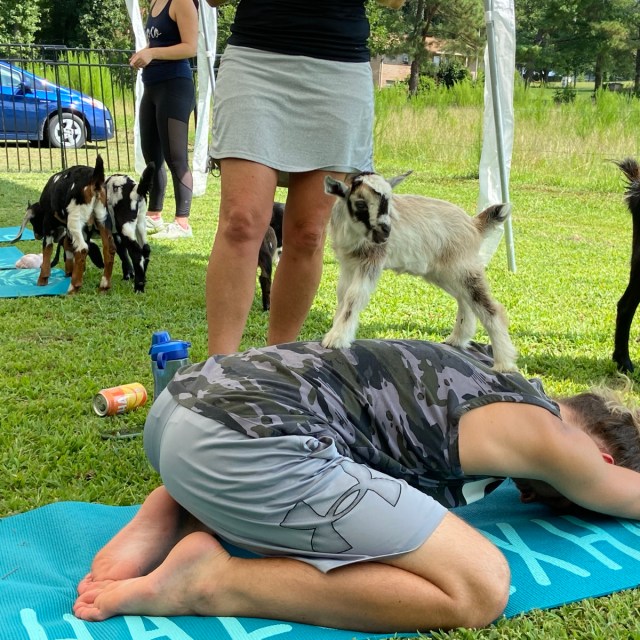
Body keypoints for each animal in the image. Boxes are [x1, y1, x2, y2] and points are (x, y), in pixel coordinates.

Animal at [105, 164, 156, 296]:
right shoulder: (115, 234)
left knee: (136, 253)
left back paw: (139, 287)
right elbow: (123, 254)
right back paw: (142, 278)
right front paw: (128, 275)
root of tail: (135, 189)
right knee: (145, 249)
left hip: (125, 227)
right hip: (140, 225)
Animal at [322, 170, 516, 372]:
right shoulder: (348, 264)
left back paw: (503, 363)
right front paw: (336, 330)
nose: (386, 232)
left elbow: (354, 297)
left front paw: (336, 338)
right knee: (465, 301)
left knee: (490, 308)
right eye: (360, 203)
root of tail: (474, 224)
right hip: (446, 274)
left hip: (464, 269)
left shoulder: (372, 261)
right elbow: (343, 295)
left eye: (389, 201)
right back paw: (457, 339)